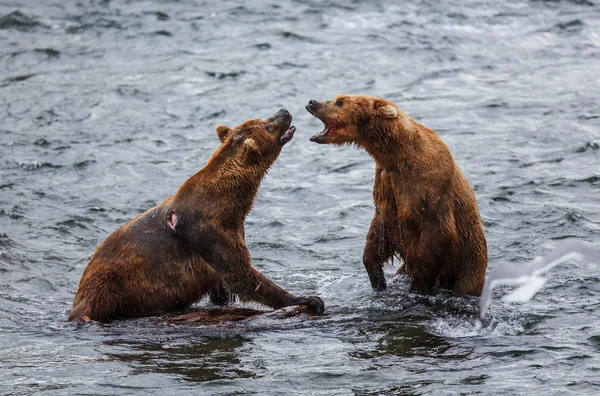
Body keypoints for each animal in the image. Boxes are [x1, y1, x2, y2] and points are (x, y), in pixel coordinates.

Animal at [68, 108, 326, 322]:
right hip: (110, 289)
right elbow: (242, 276)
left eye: (261, 118)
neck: (231, 204)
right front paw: (308, 299)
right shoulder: (207, 232)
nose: (284, 111)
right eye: (266, 124)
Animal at [308, 95, 486, 294]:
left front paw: (418, 284)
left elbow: (438, 236)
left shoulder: (430, 190)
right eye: (335, 98)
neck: (397, 156)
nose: (312, 102)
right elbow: (381, 228)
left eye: (340, 101)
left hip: (469, 264)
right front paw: (377, 276)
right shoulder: (387, 185)